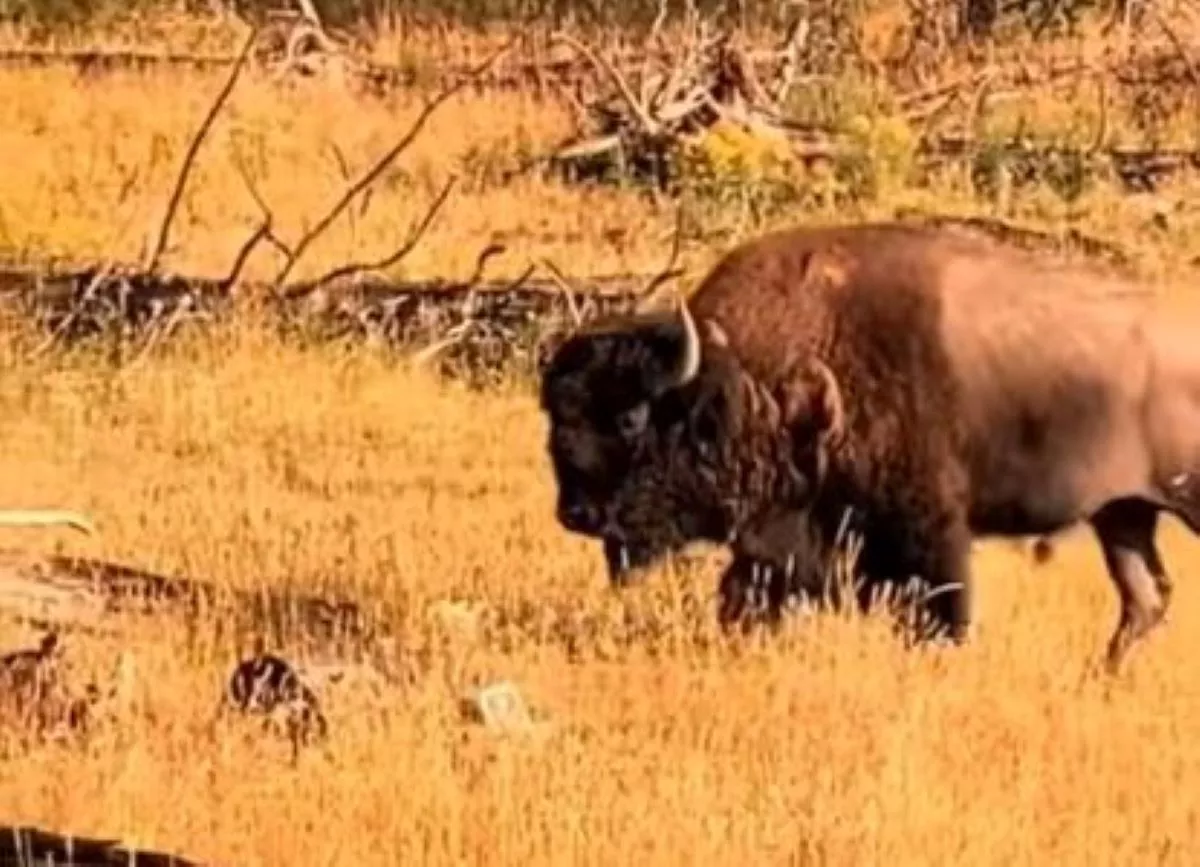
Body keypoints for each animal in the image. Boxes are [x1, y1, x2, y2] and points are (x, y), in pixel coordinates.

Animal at [539, 221, 1200, 672]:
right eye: (555, 413)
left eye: (630, 417)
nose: (575, 513)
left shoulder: (926, 531)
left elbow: (941, 610)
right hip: (1122, 515)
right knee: (1144, 597)